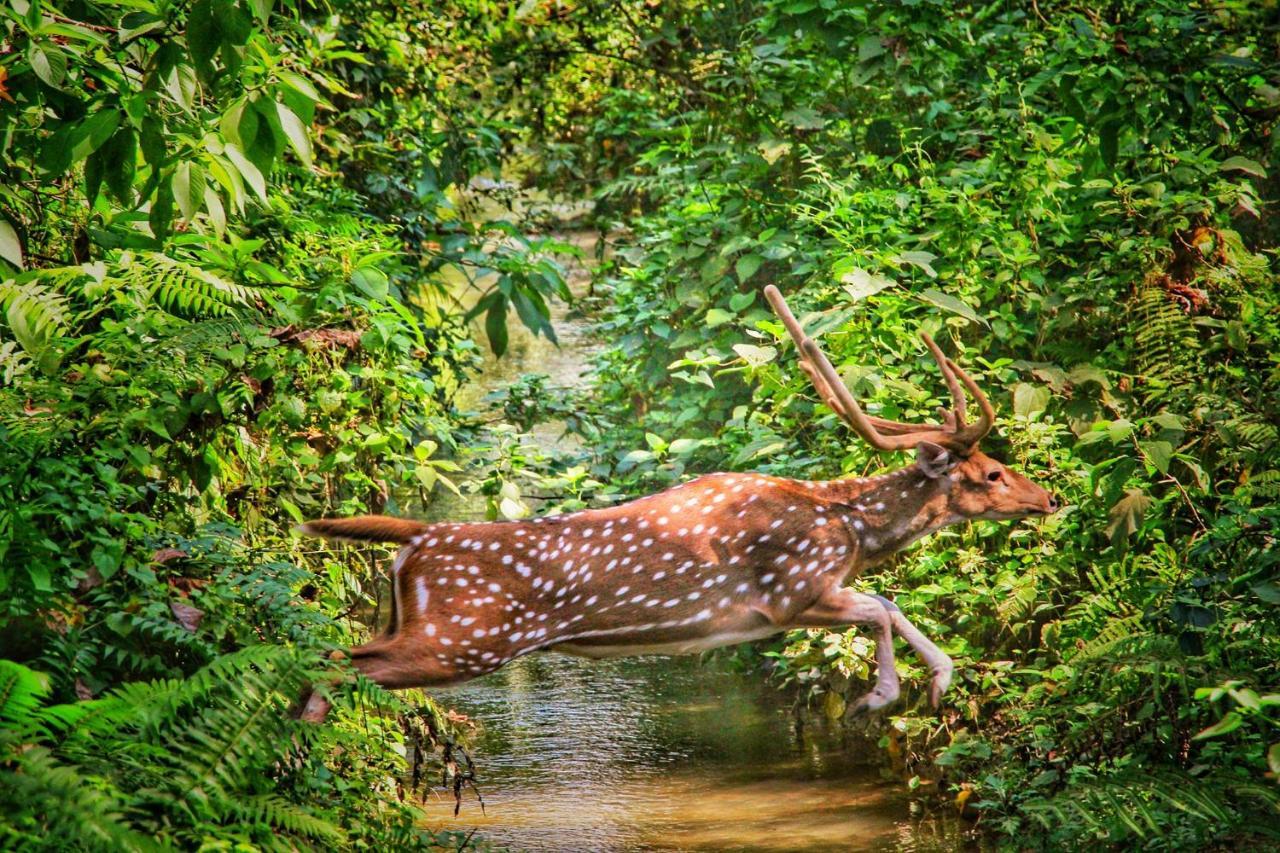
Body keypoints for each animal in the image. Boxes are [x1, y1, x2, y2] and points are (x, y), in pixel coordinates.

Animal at [294, 284, 1054, 717]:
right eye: (990, 472)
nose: (1045, 497)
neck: (846, 526)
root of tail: (416, 538)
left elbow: (888, 603)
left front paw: (938, 681)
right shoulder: (790, 592)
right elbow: (880, 607)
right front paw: (881, 696)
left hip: (424, 625)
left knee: (333, 657)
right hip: (467, 635)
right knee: (335, 660)